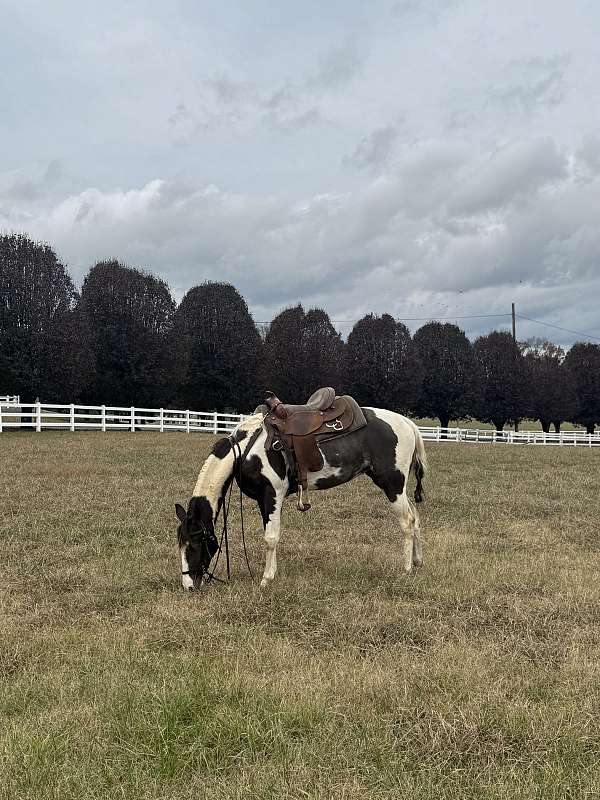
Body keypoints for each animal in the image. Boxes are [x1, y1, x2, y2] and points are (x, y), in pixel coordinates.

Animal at [175, 410, 426, 592]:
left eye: (194, 545)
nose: (188, 586)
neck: (247, 448)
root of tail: (408, 423)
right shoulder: (264, 500)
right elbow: (270, 535)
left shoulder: (272, 494)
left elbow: (270, 538)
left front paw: (266, 579)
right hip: (399, 488)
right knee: (416, 518)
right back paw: (417, 561)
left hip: (392, 484)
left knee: (407, 522)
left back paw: (405, 569)